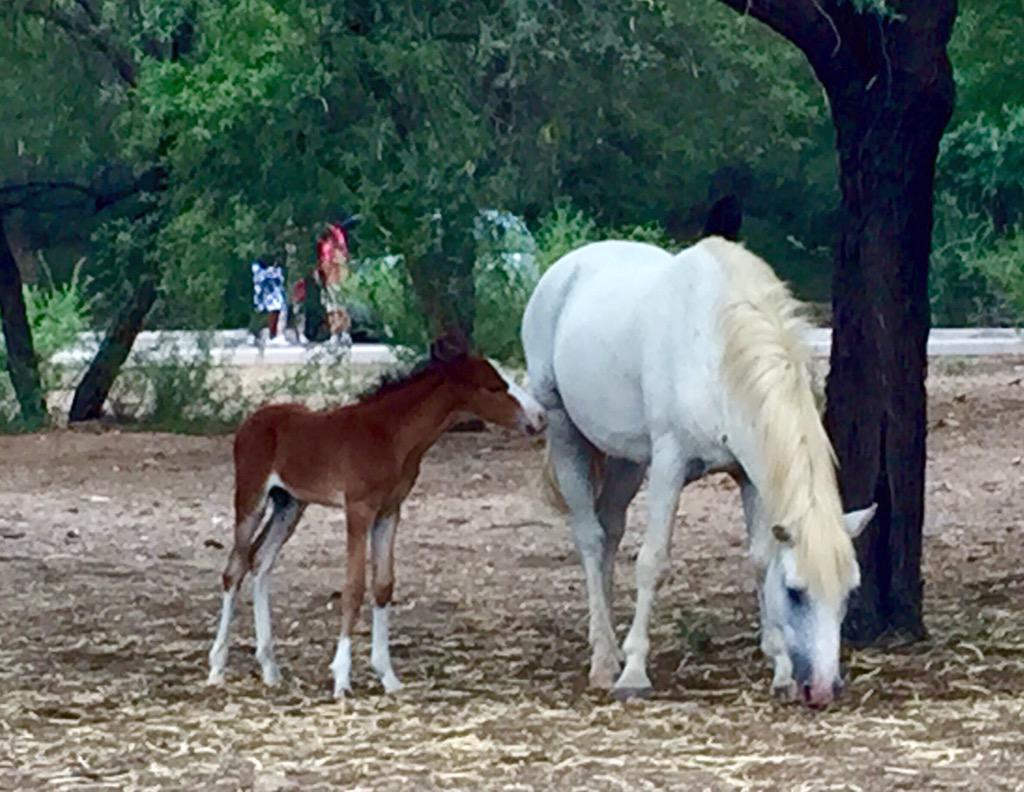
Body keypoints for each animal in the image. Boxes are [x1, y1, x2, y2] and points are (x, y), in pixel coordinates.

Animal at [202, 329, 548, 696]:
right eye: (494, 387)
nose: (541, 417)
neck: (390, 436)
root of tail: (251, 422)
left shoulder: (389, 511)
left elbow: (383, 585)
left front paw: (388, 676)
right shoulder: (359, 509)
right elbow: (354, 587)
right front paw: (341, 678)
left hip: (289, 504)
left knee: (261, 559)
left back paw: (269, 667)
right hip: (251, 499)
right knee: (235, 568)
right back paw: (217, 667)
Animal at [524, 234, 876, 704]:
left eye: (848, 593)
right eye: (796, 592)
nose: (821, 689)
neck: (716, 348)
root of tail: (565, 268)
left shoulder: (748, 475)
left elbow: (760, 559)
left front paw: (780, 669)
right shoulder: (669, 463)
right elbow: (653, 561)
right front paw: (634, 673)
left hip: (626, 459)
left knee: (610, 529)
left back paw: (610, 645)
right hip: (566, 433)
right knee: (590, 538)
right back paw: (604, 659)